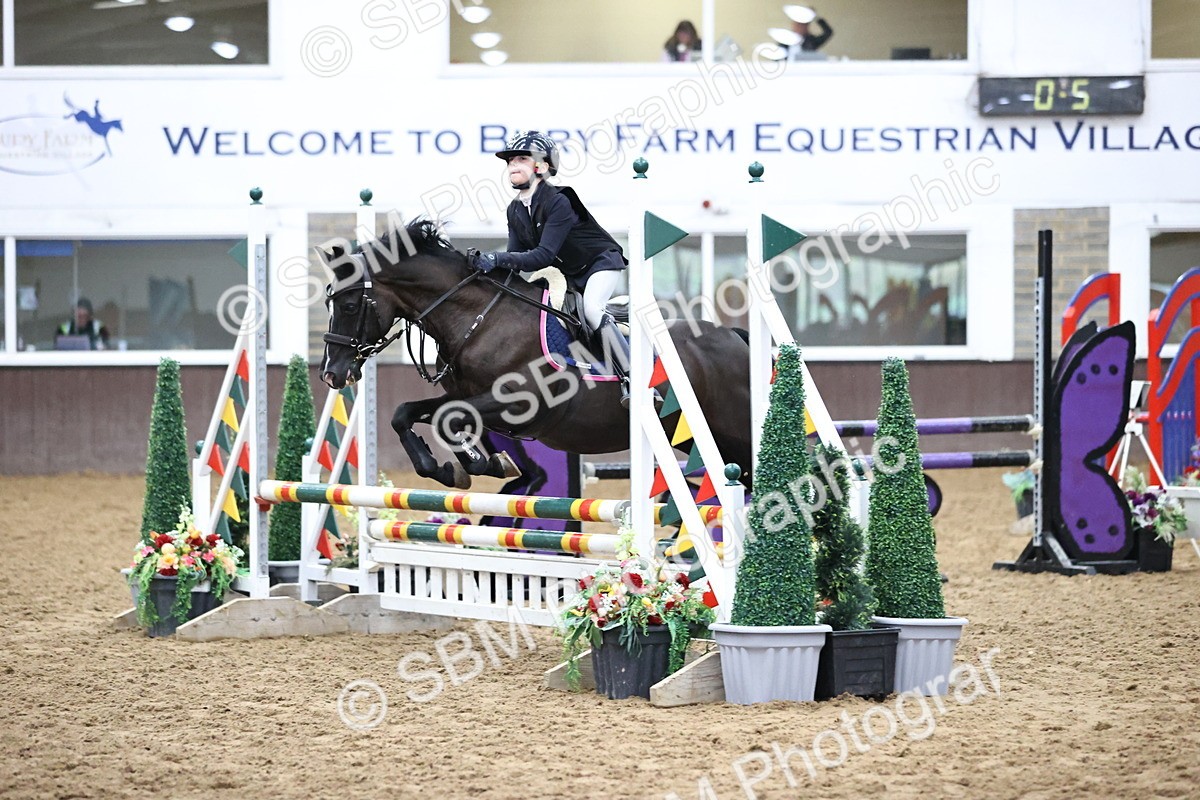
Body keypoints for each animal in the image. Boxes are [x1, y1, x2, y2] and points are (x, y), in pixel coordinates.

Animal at [319, 219, 752, 491]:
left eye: (351, 305)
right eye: (329, 303)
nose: (331, 375)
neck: (479, 319)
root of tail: (731, 334)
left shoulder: (518, 403)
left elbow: (449, 420)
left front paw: (480, 462)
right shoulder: (462, 396)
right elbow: (406, 414)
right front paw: (457, 468)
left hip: (734, 432)